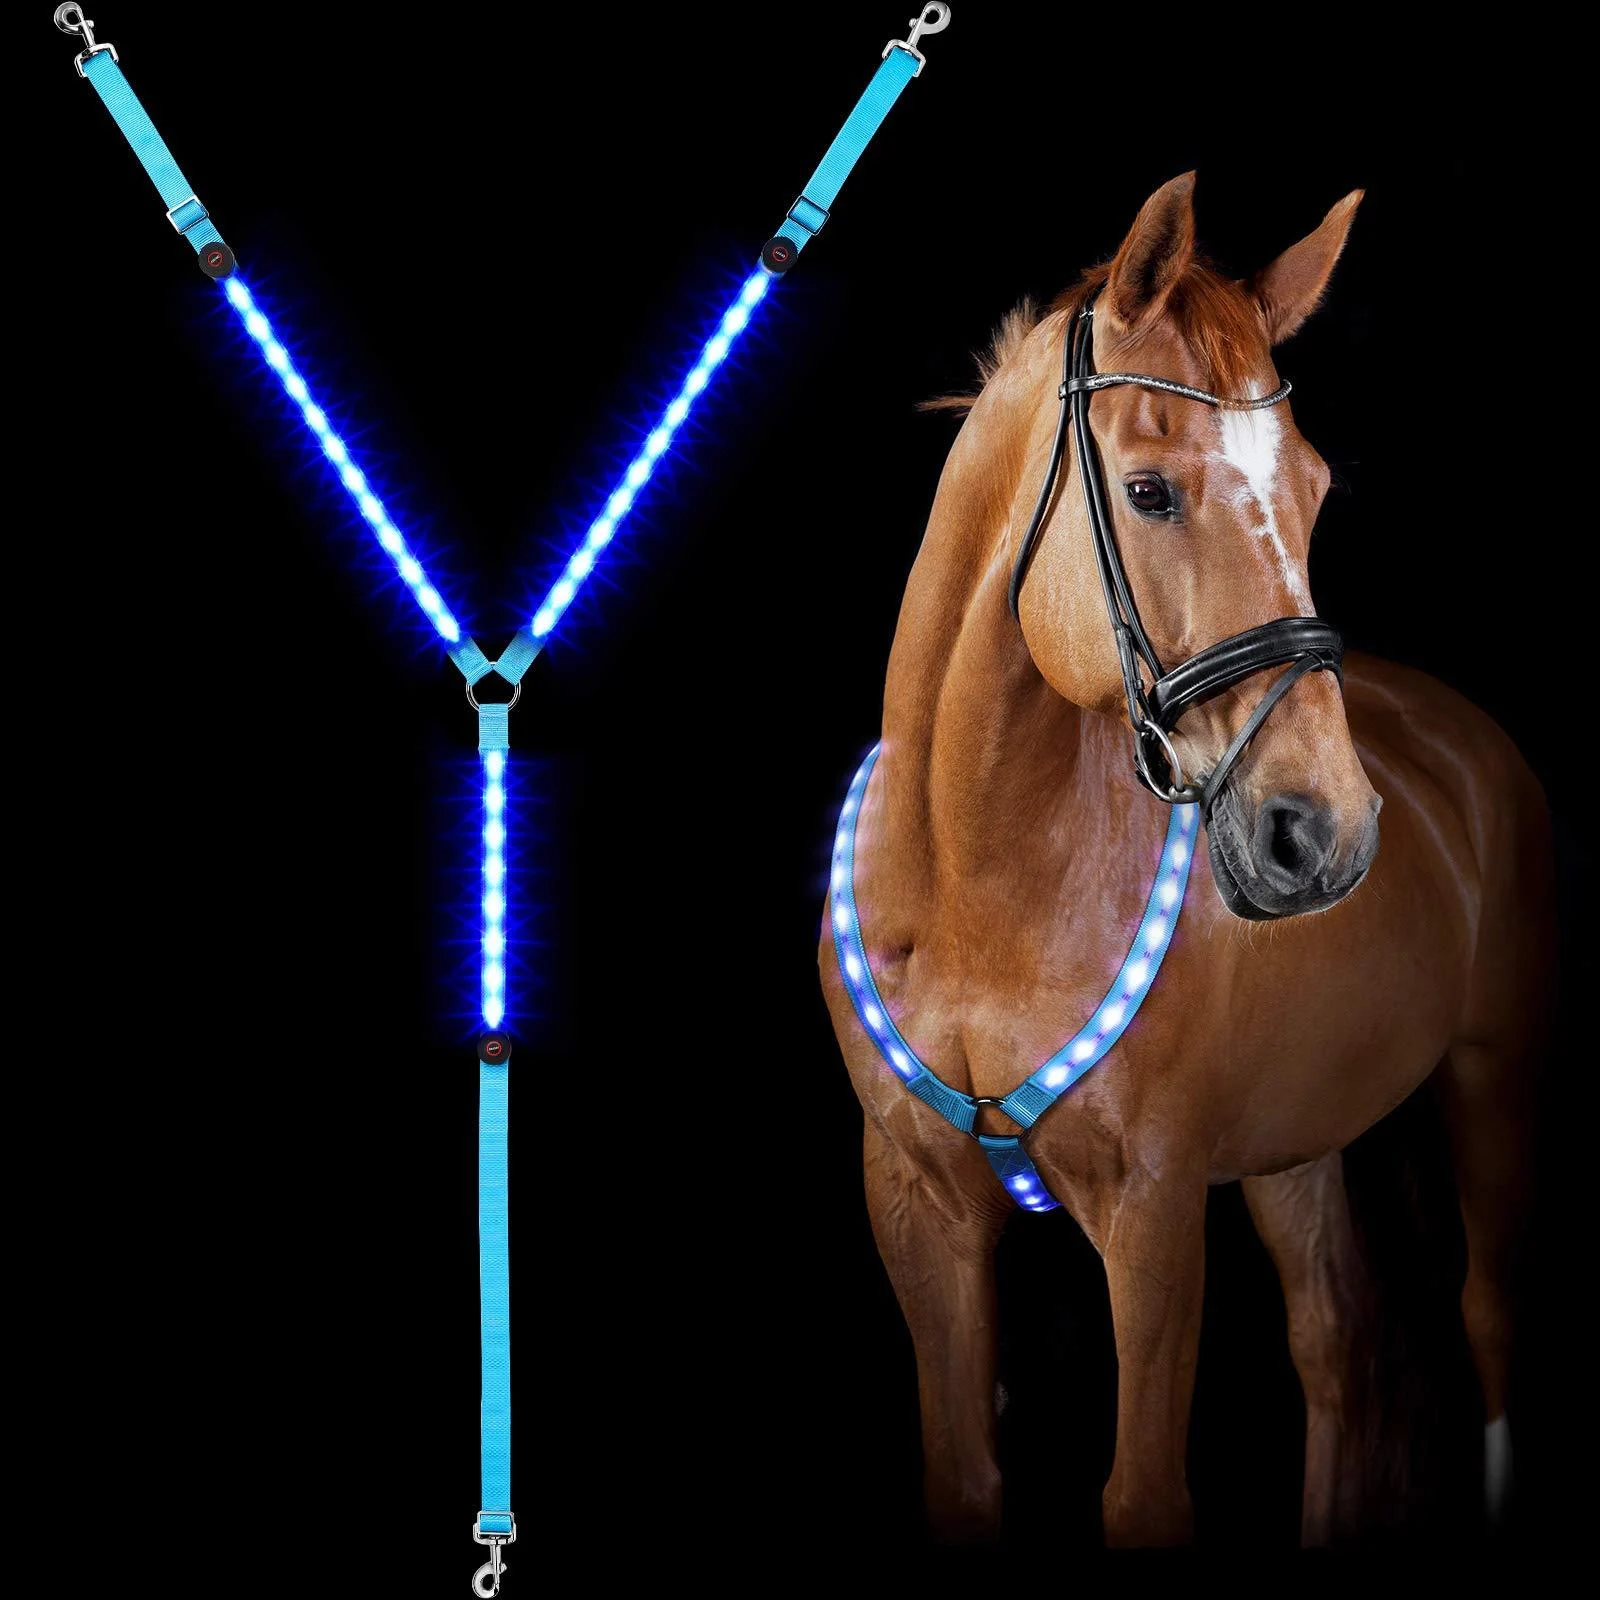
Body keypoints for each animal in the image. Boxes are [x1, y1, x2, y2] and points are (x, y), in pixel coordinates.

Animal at [818, 172, 1553, 1547]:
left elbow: (1144, 1492)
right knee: (1337, 1349)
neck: (976, 891)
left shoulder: (1153, 1212)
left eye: (1314, 487)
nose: (1325, 831)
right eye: (1152, 492)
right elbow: (962, 1474)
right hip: (1294, 1145)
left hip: (1491, 1079)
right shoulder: (916, 1206)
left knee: (1483, 1329)